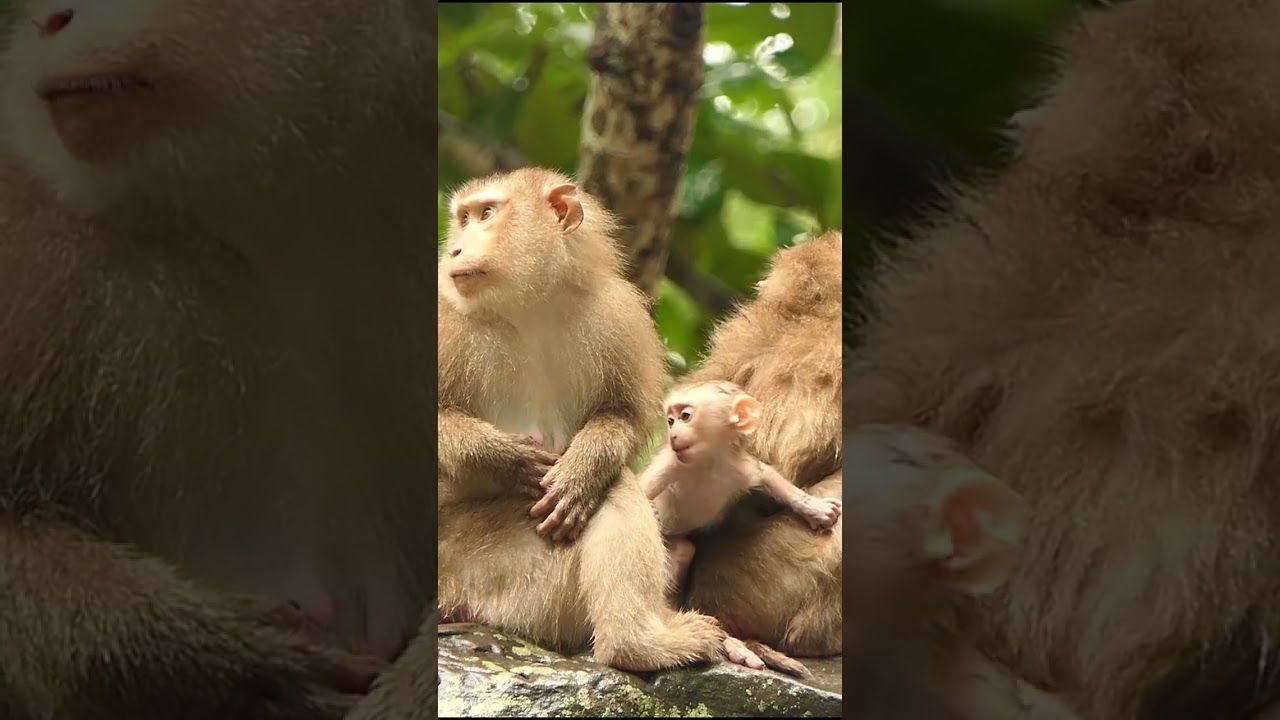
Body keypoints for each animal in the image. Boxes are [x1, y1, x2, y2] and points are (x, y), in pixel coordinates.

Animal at [436, 167, 725, 673]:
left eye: (486, 213)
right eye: (463, 219)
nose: (453, 248)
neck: (526, 309)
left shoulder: (618, 314)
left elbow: (623, 416)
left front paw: (582, 469)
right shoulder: (443, 319)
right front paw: (506, 459)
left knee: (613, 484)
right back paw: (637, 645)